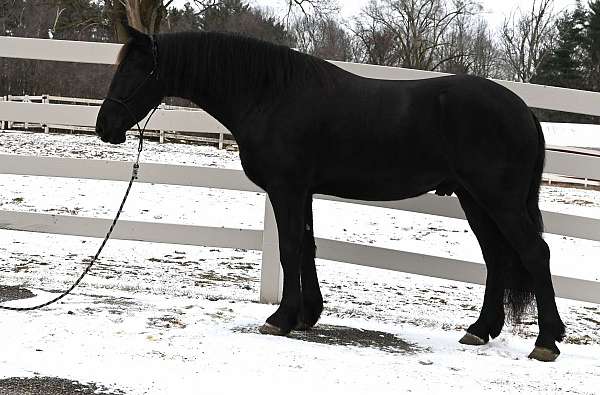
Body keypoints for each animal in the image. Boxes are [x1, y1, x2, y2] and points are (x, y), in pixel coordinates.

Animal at [96, 26, 564, 364]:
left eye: (137, 71)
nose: (105, 128)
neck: (271, 94)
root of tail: (524, 111)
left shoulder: (286, 188)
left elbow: (289, 248)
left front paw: (280, 318)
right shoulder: (302, 191)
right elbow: (307, 247)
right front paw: (308, 314)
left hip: (499, 200)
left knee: (534, 253)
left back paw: (546, 342)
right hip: (474, 199)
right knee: (497, 258)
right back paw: (481, 330)